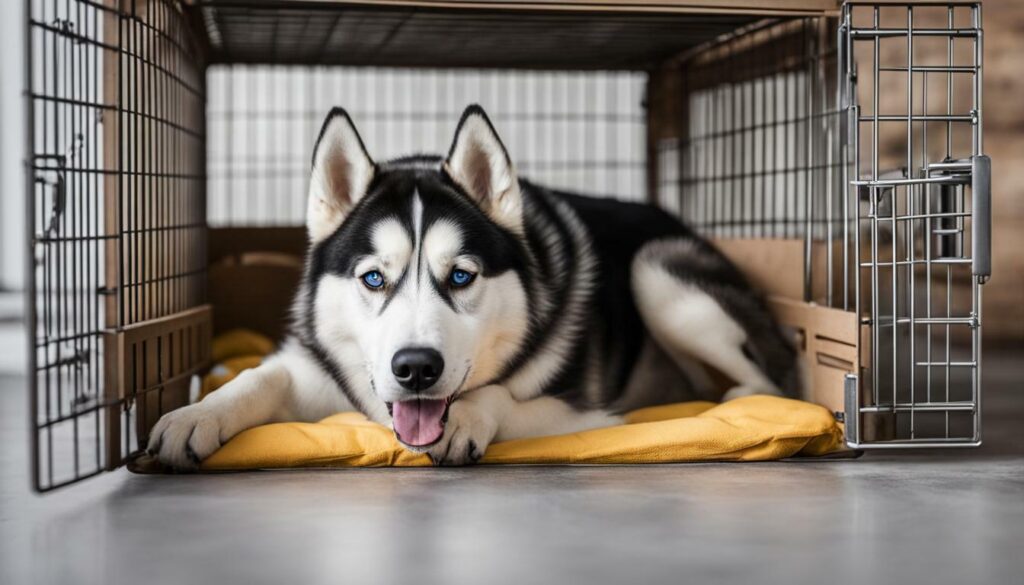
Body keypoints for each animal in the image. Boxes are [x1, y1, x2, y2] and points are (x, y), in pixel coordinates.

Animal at [148, 105, 798, 469]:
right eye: (373, 278)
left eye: (461, 275)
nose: (415, 369)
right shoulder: (317, 371)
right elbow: (261, 377)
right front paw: (197, 414)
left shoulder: (585, 413)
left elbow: (501, 397)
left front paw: (467, 418)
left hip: (657, 273)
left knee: (770, 378)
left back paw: (739, 400)